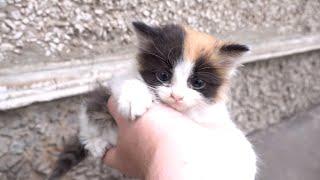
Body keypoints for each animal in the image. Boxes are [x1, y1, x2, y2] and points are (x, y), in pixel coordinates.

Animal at [48, 21, 256, 179]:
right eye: (163, 76)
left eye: (197, 83)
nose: (176, 96)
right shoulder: (117, 82)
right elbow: (130, 82)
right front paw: (134, 100)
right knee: (88, 121)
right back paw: (95, 143)